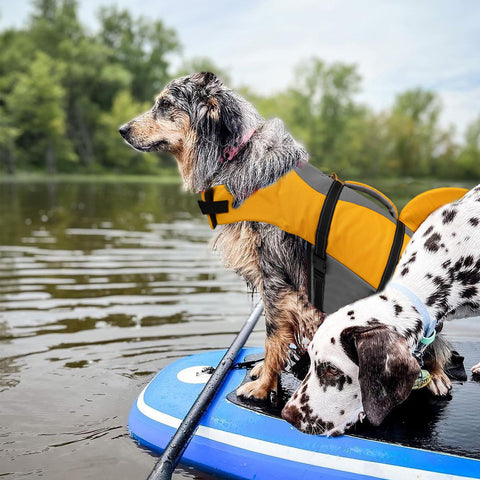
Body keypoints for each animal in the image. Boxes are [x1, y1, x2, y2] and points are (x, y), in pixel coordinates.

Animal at [119, 71, 326, 400]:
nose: (122, 129)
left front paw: (262, 386)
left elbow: (273, 334)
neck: (236, 154)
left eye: (165, 104)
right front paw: (265, 374)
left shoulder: (276, 278)